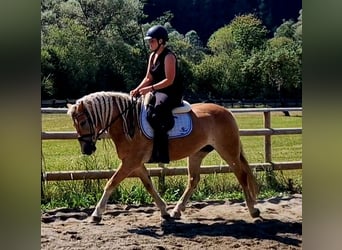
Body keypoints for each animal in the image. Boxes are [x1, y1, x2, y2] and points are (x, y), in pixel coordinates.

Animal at [66, 91, 260, 223]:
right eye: (74, 124)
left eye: (83, 121)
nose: (86, 149)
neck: (128, 123)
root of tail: (227, 111)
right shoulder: (136, 164)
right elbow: (149, 185)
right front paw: (164, 211)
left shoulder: (130, 162)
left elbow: (111, 183)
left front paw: (96, 214)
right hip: (197, 153)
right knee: (193, 180)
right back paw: (177, 210)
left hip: (228, 151)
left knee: (242, 176)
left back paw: (253, 210)